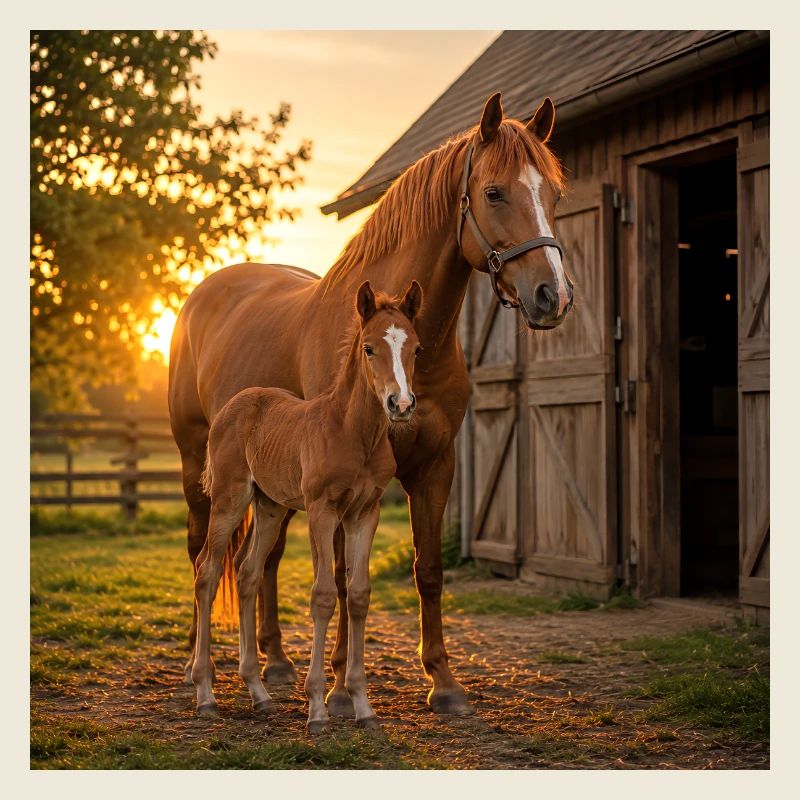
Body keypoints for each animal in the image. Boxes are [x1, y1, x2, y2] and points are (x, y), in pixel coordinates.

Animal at [192, 281, 422, 732]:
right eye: (369, 348)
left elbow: (358, 594)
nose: (400, 404)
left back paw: (259, 693)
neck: (353, 433)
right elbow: (323, 595)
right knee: (207, 572)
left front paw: (363, 706)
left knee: (247, 573)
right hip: (229, 499)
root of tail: (235, 403)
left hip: (269, 507)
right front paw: (317, 708)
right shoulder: (322, 511)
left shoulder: (365, 513)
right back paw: (205, 694)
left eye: (416, 348)